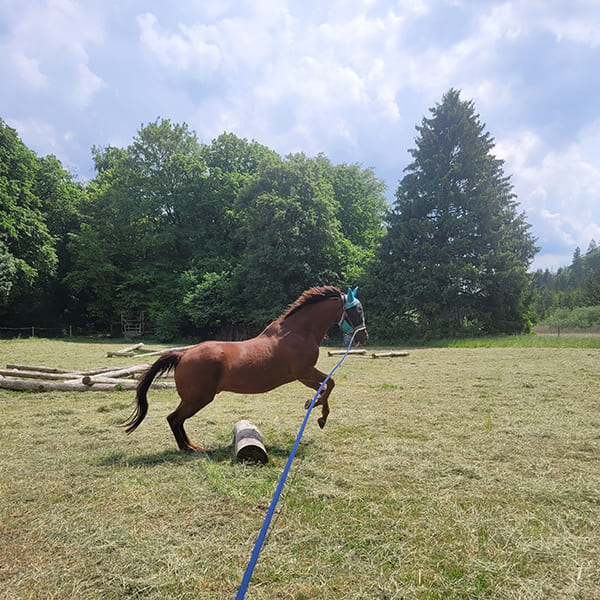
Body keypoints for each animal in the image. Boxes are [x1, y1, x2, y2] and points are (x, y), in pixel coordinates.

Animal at [123, 286, 366, 450]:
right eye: (358, 310)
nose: (363, 336)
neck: (299, 331)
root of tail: (183, 354)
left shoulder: (304, 376)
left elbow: (324, 387)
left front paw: (314, 405)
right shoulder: (303, 373)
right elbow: (330, 384)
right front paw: (319, 414)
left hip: (193, 399)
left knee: (177, 420)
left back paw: (190, 446)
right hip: (198, 399)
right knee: (174, 419)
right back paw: (188, 448)